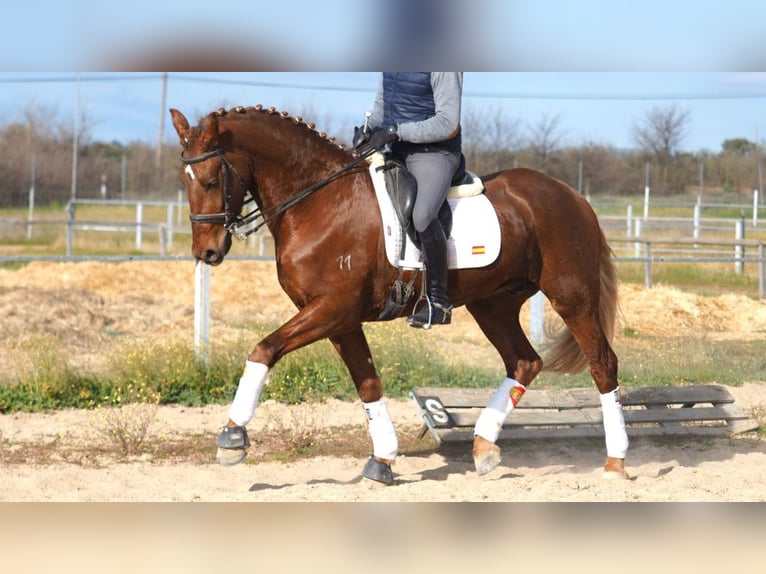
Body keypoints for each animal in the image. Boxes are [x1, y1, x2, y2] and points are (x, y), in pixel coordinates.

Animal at [170, 104, 632, 486]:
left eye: (210, 180)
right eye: (185, 180)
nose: (206, 252)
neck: (319, 201)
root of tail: (570, 194)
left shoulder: (330, 309)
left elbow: (264, 349)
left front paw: (232, 436)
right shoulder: (339, 319)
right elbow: (369, 384)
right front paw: (384, 460)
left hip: (572, 297)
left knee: (603, 365)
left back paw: (616, 461)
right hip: (493, 304)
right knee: (524, 361)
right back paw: (484, 447)